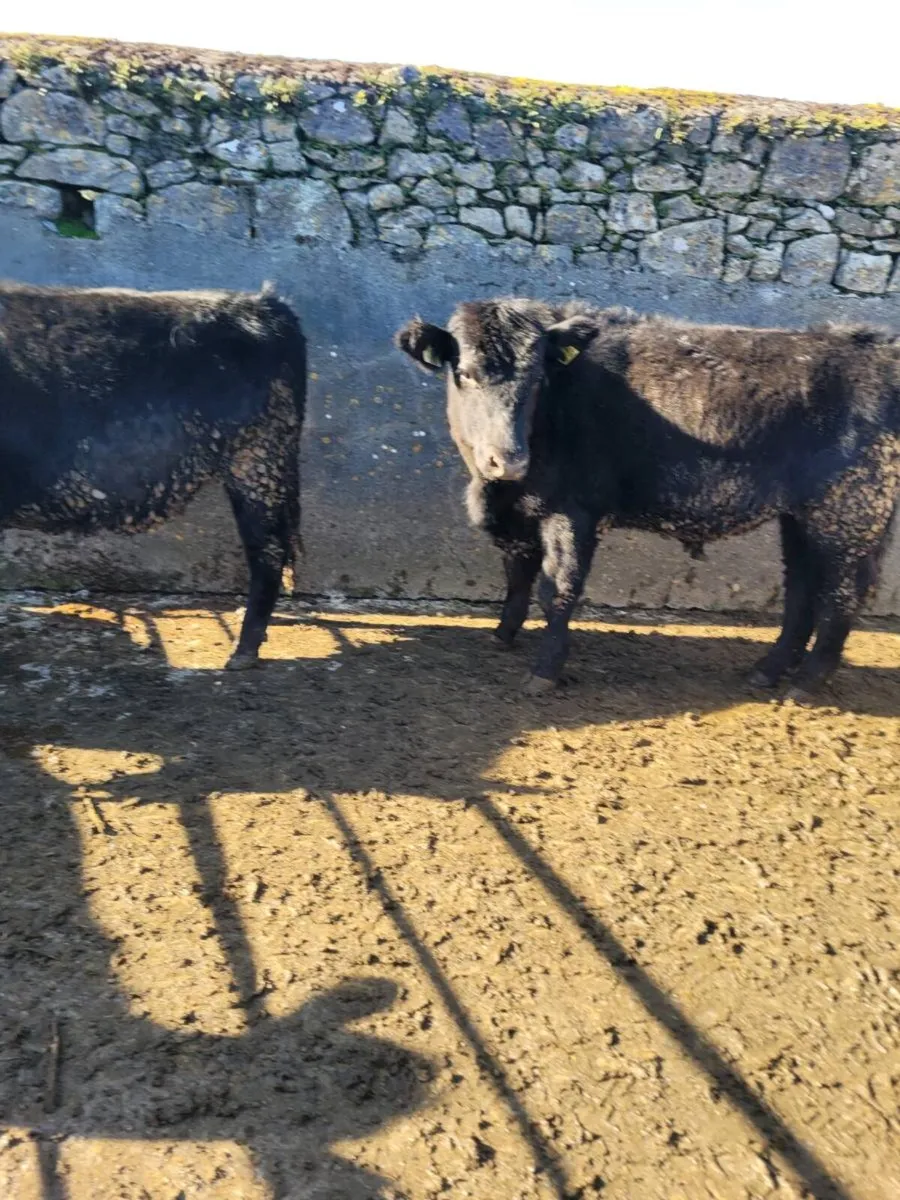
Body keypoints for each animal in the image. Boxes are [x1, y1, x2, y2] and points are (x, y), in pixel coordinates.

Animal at [396, 299, 900, 701]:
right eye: (464, 374)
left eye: (538, 377)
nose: (509, 459)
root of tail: (878, 347)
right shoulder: (523, 515)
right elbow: (517, 574)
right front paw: (502, 635)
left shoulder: (572, 512)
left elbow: (557, 587)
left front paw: (544, 671)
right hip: (801, 518)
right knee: (801, 589)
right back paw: (766, 671)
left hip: (849, 514)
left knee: (842, 594)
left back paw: (806, 684)